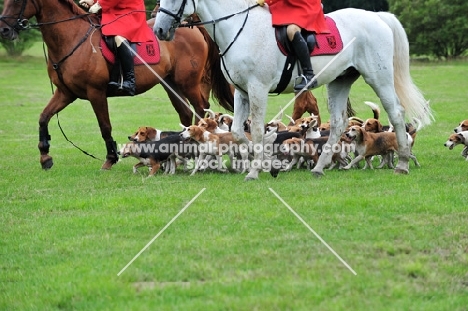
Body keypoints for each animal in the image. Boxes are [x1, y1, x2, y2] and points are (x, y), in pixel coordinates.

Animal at [0, 0, 233, 171]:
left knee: (201, 111)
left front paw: (110, 159)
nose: (3, 29)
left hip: (189, 84)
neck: (72, 38)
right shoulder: (65, 93)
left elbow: (105, 126)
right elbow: (43, 118)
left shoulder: (96, 92)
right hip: (170, 84)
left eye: (18, 0)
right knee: (185, 113)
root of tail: (191, 27)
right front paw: (45, 156)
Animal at [155, 0, 434, 180]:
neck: (241, 30)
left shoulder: (257, 88)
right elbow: (238, 133)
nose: (159, 30)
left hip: (379, 77)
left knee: (395, 113)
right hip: (340, 80)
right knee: (338, 123)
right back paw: (319, 168)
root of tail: (377, 16)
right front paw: (265, 163)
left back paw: (402, 163)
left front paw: (256, 170)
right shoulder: (242, 92)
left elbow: (257, 131)